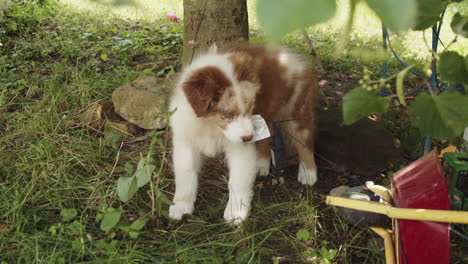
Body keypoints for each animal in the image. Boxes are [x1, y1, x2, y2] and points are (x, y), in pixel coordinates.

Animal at [168, 42, 318, 224]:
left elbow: (238, 180)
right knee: (267, 136)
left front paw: (236, 212)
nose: (248, 137)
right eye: (227, 115)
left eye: (249, 109)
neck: (210, 125)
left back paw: (308, 173)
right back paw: (261, 164)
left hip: (296, 110)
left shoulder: (240, 147)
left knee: (305, 140)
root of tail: (289, 54)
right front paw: (181, 206)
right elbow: (185, 174)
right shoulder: (185, 139)